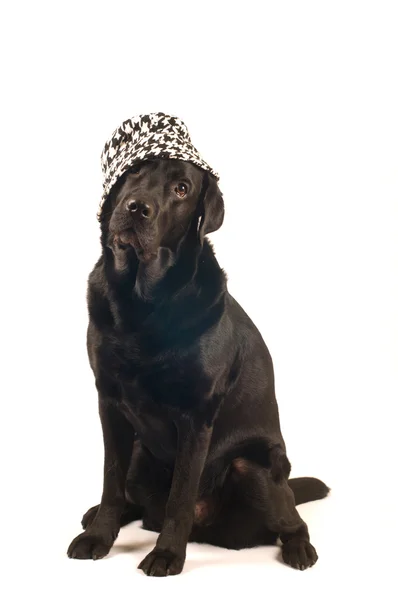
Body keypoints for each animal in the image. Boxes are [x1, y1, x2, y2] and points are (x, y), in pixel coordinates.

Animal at [67, 157, 330, 576]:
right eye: (135, 170)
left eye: (181, 190)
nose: (137, 208)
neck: (141, 301)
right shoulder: (108, 401)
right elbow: (111, 480)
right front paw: (98, 536)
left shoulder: (196, 416)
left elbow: (181, 497)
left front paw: (167, 554)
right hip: (141, 452)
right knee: (136, 499)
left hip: (254, 467)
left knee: (292, 519)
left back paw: (299, 548)